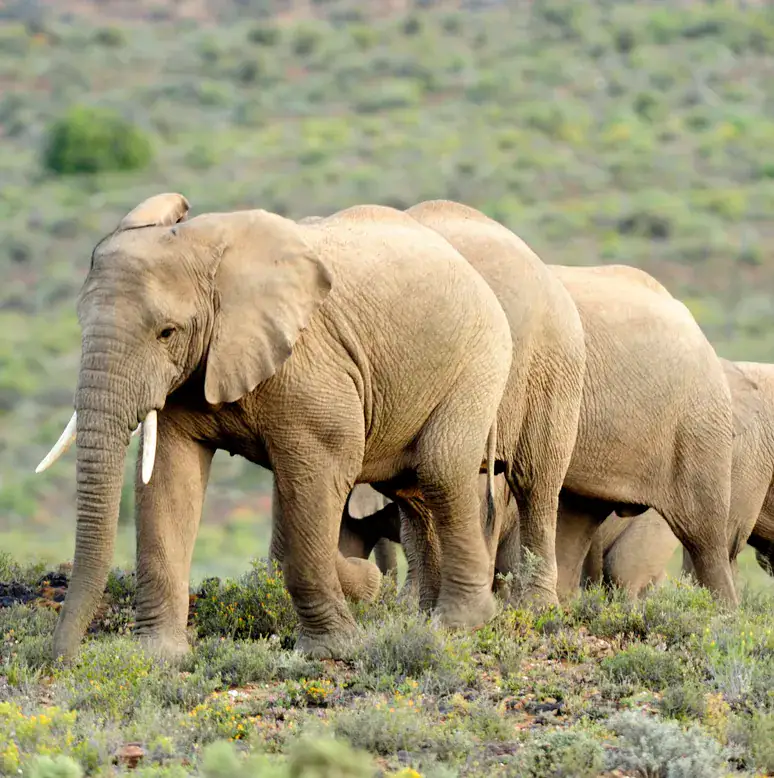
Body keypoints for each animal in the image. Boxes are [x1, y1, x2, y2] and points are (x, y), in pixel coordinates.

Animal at [34, 193, 515, 661]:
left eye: (166, 332)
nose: (61, 660)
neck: (211, 253)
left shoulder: (310, 365)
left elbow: (319, 474)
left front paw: (333, 649)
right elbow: (169, 480)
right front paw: (157, 658)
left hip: (480, 358)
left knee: (440, 469)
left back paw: (459, 624)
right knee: (413, 490)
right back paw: (425, 616)